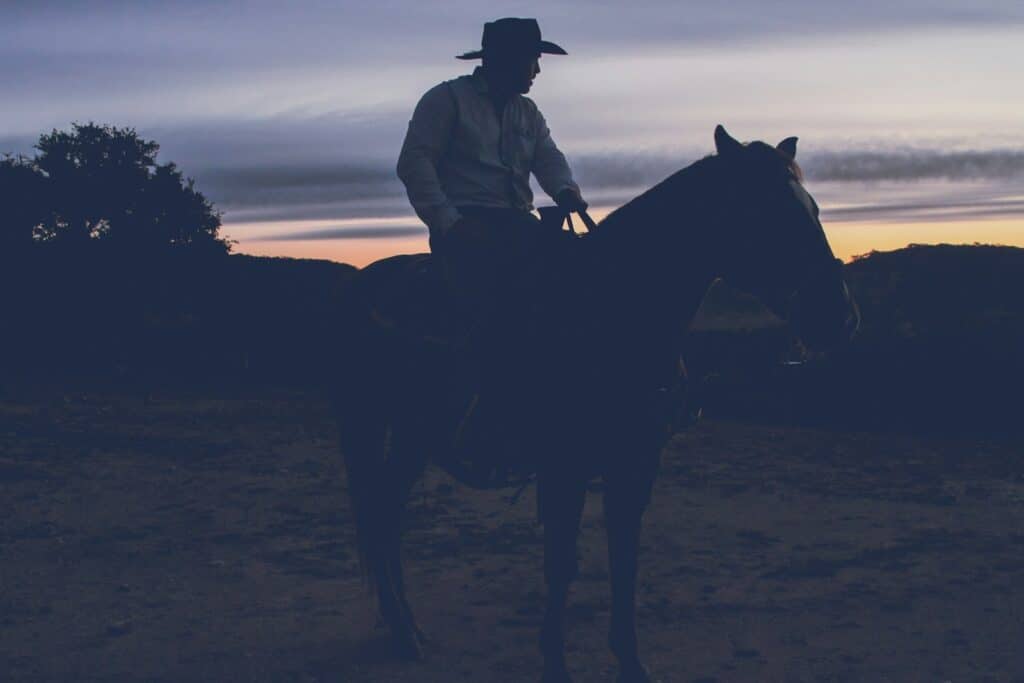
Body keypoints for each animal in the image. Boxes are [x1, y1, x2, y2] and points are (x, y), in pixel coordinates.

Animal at [331, 125, 860, 679]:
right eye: (765, 211)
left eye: (813, 207)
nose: (840, 316)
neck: (613, 313)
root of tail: (361, 285)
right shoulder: (565, 467)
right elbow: (562, 564)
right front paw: (555, 664)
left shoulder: (637, 462)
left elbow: (624, 558)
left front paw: (630, 661)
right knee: (380, 514)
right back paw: (404, 631)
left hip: (411, 436)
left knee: (385, 513)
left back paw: (405, 628)